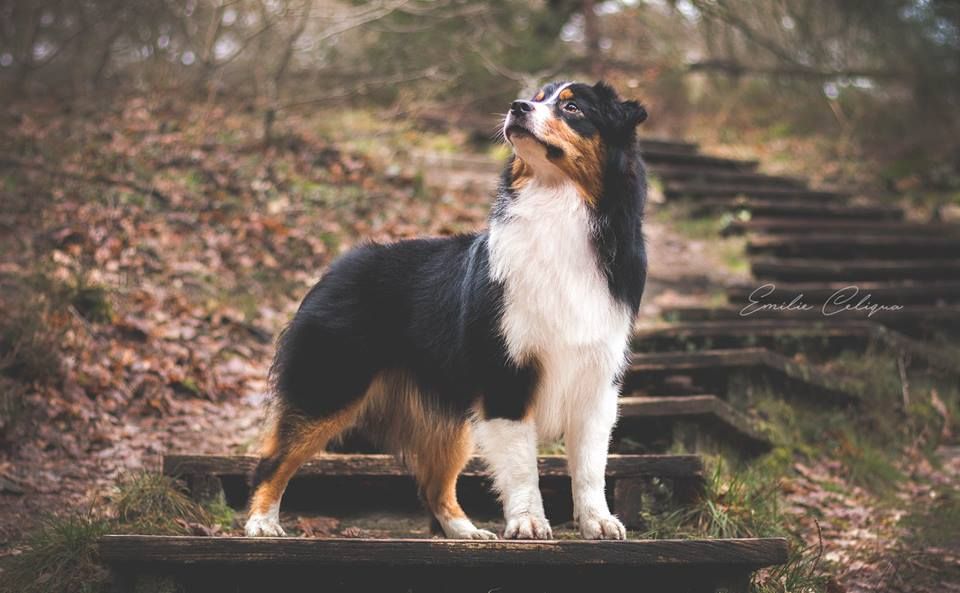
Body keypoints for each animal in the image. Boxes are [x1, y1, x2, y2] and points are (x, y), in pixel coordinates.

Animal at [244, 81, 648, 540]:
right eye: (535, 98)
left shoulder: (596, 380)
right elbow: (522, 464)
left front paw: (598, 521)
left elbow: (590, 466)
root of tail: (340, 262)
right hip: (330, 383)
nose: (516, 108)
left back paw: (467, 532)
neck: (559, 207)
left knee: (435, 484)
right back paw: (261, 522)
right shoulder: (504, 373)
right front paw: (528, 521)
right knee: (274, 458)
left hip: (447, 417)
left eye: (573, 107)